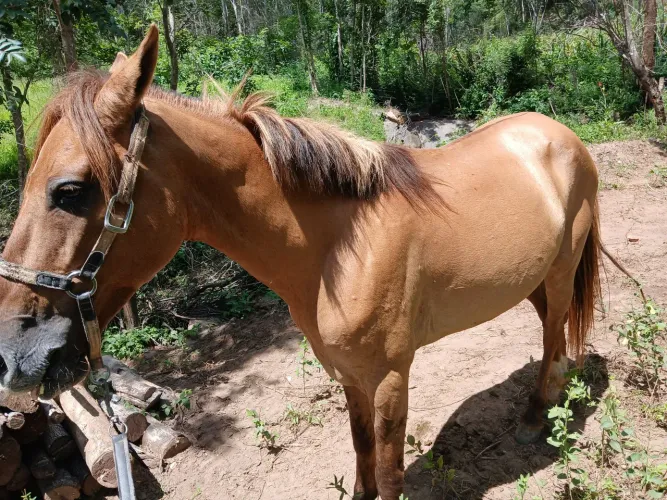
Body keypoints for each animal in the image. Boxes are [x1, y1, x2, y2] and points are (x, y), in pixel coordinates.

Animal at [0, 26, 600, 499]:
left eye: (69, 191)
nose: (14, 354)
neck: (339, 250)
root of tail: (561, 136)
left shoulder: (390, 377)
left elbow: (388, 473)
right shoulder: (350, 376)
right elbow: (362, 457)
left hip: (560, 270)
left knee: (554, 332)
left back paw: (532, 420)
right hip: (532, 279)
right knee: (552, 331)